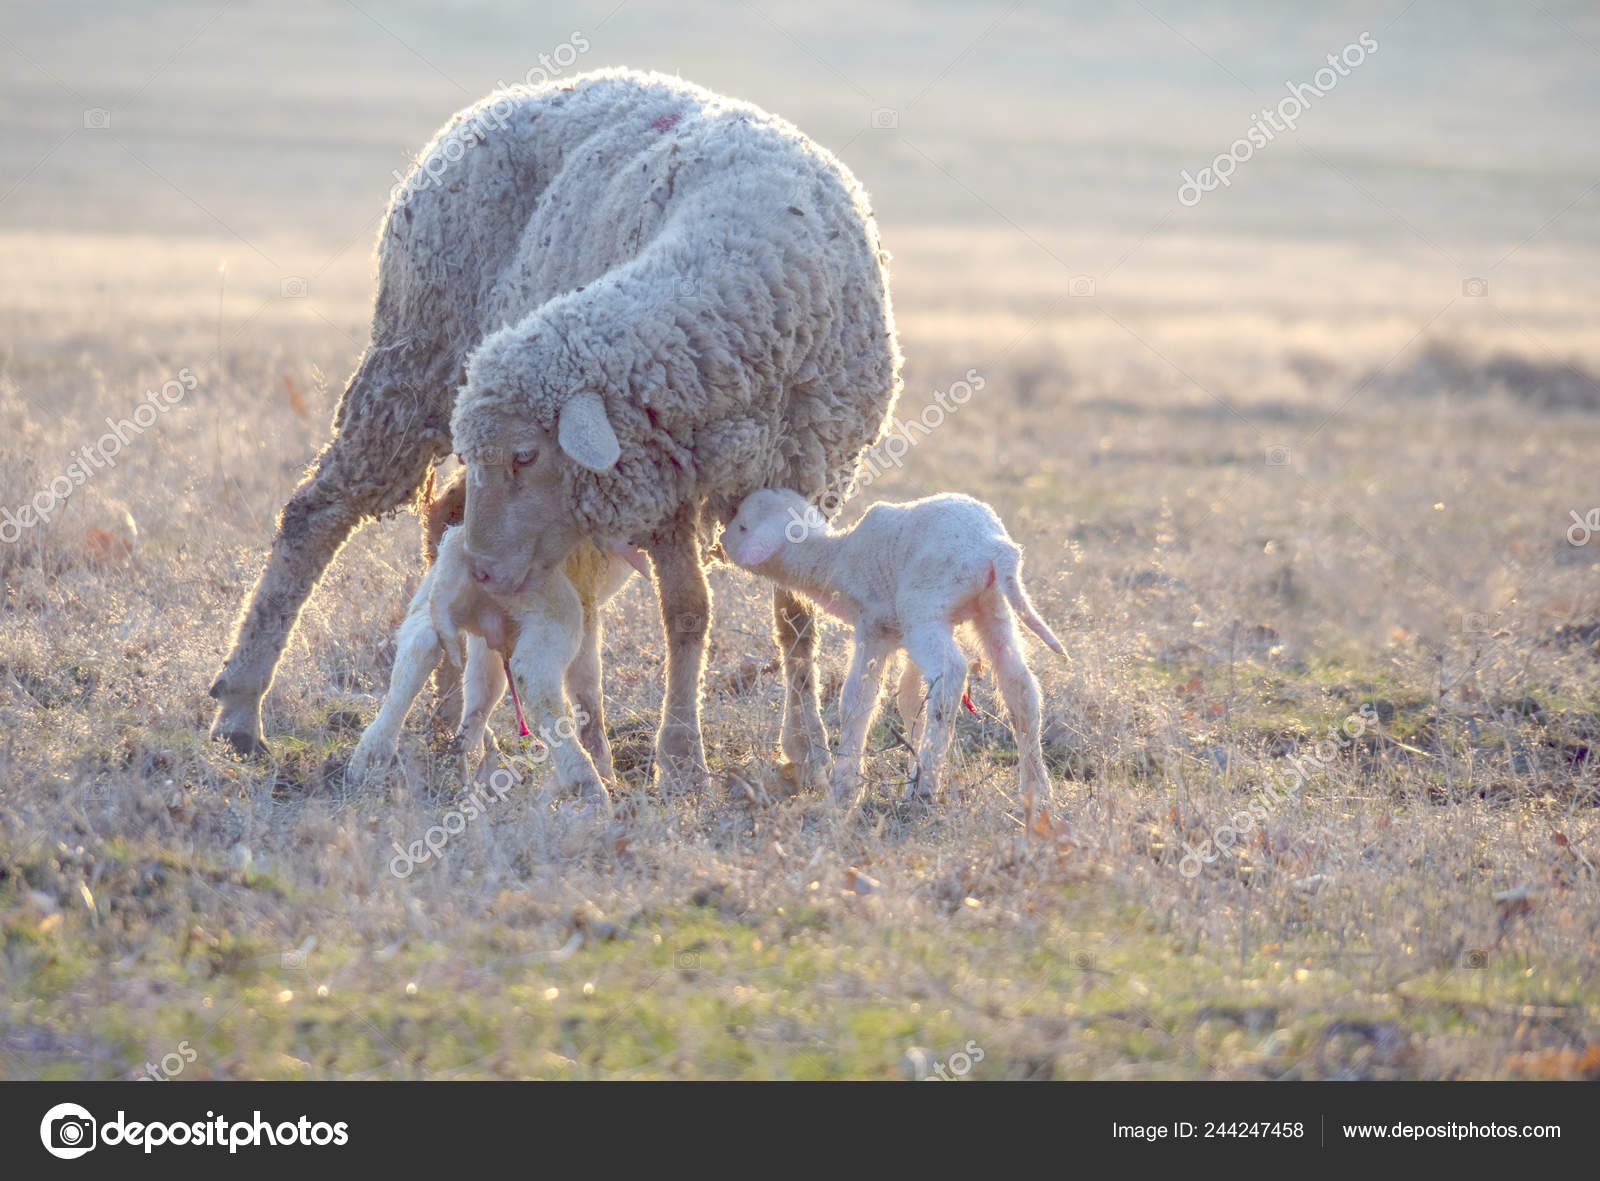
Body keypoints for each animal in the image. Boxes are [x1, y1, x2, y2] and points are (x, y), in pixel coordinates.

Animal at [346, 520, 639, 804]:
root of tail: (460, 550)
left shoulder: (488, 631)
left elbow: (483, 685)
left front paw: (470, 752)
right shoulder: (587, 599)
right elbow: (587, 686)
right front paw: (604, 767)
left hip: (432, 595)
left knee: (419, 645)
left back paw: (371, 761)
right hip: (550, 603)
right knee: (534, 673)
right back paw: (587, 782)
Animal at [722, 488, 1065, 818]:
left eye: (743, 526)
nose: (722, 541)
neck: (835, 559)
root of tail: (995, 545)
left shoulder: (873, 627)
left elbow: (857, 701)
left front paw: (846, 787)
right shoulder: (904, 637)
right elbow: (909, 700)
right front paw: (910, 759)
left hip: (923, 607)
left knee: (951, 674)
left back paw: (924, 791)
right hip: (990, 607)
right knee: (1019, 686)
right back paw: (1036, 791)